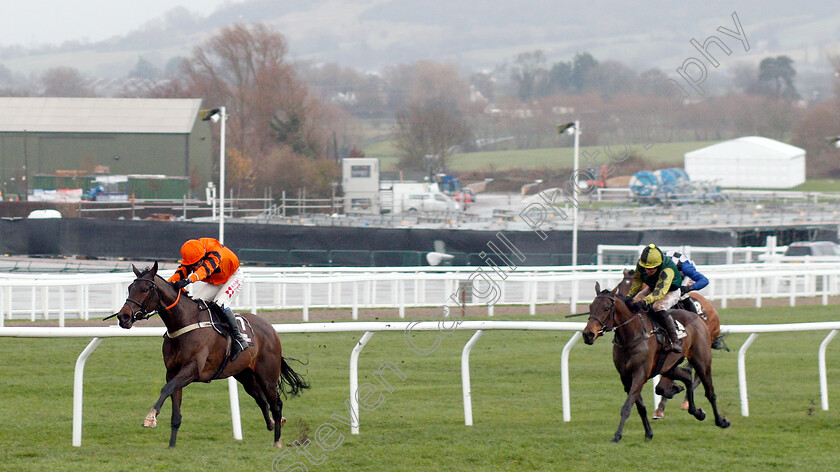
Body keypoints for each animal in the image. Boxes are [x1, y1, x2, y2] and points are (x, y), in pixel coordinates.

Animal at [111, 264, 308, 448]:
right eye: (130, 288)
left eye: (145, 289)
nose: (123, 317)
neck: (185, 322)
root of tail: (271, 328)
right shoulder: (173, 372)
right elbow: (175, 410)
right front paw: (171, 446)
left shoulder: (192, 369)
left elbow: (166, 389)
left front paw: (151, 417)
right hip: (245, 375)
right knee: (261, 399)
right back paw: (273, 424)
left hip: (267, 375)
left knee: (276, 404)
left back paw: (277, 440)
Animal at [580, 284, 724, 442]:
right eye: (591, 306)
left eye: (606, 308)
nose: (588, 334)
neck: (632, 335)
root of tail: (698, 317)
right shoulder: (625, 377)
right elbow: (639, 406)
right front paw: (648, 433)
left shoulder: (640, 374)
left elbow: (627, 406)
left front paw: (617, 436)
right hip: (668, 366)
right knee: (686, 375)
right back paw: (695, 410)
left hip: (702, 361)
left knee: (710, 392)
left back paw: (721, 421)